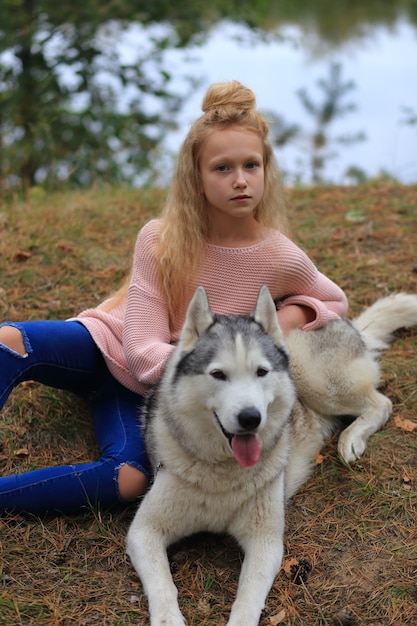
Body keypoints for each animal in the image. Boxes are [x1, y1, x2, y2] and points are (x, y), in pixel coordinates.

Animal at [125, 288, 416, 624]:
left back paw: (352, 439)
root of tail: (345, 322)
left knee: (381, 402)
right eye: (218, 374)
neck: (224, 471)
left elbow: (248, 596)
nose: (251, 418)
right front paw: (168, 618)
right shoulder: (144, 532)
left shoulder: (265, 540)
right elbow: (162, 585)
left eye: (261, 372)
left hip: (315, 380)